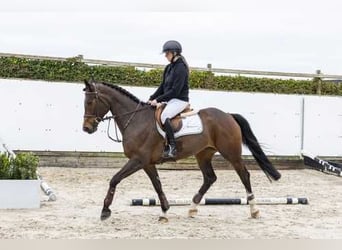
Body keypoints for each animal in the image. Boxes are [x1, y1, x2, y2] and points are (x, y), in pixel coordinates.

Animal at [82, 79, 280, 221]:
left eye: (91, 102)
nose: (87, 128)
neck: (136, 120)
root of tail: (228, 115)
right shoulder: (146, 163)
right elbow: (157, 184)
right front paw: (164, 211)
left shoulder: (138, 160)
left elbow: (114, 179)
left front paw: (105, 210)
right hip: (203, 154)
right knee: (210, 178)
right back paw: (192, 209)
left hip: (231, 153)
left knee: (244, 175)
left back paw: (254, 210)